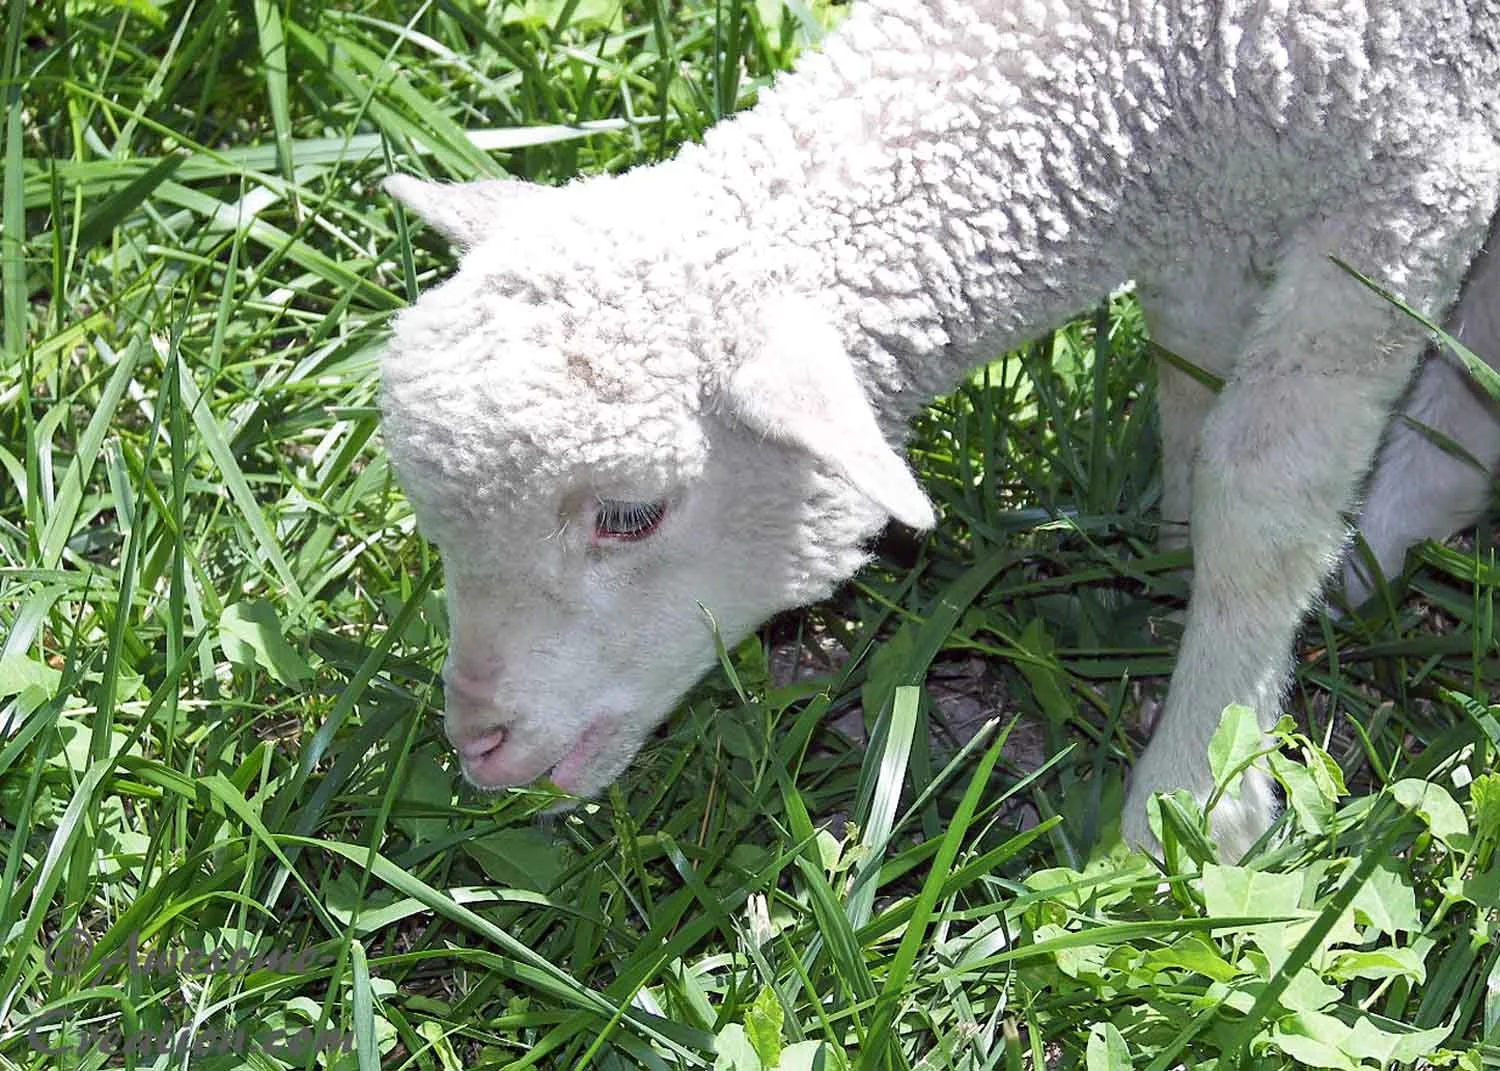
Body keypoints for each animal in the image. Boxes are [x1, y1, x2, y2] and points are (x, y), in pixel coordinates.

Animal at [379, 0, 1500, 860]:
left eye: (629, 515)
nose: (475, 744)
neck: (1179, 53)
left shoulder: (1413, 177)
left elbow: (1261, 498)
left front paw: (1195, 798)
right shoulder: (1222, 200)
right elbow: (1195, 377)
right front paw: (1180, 562)